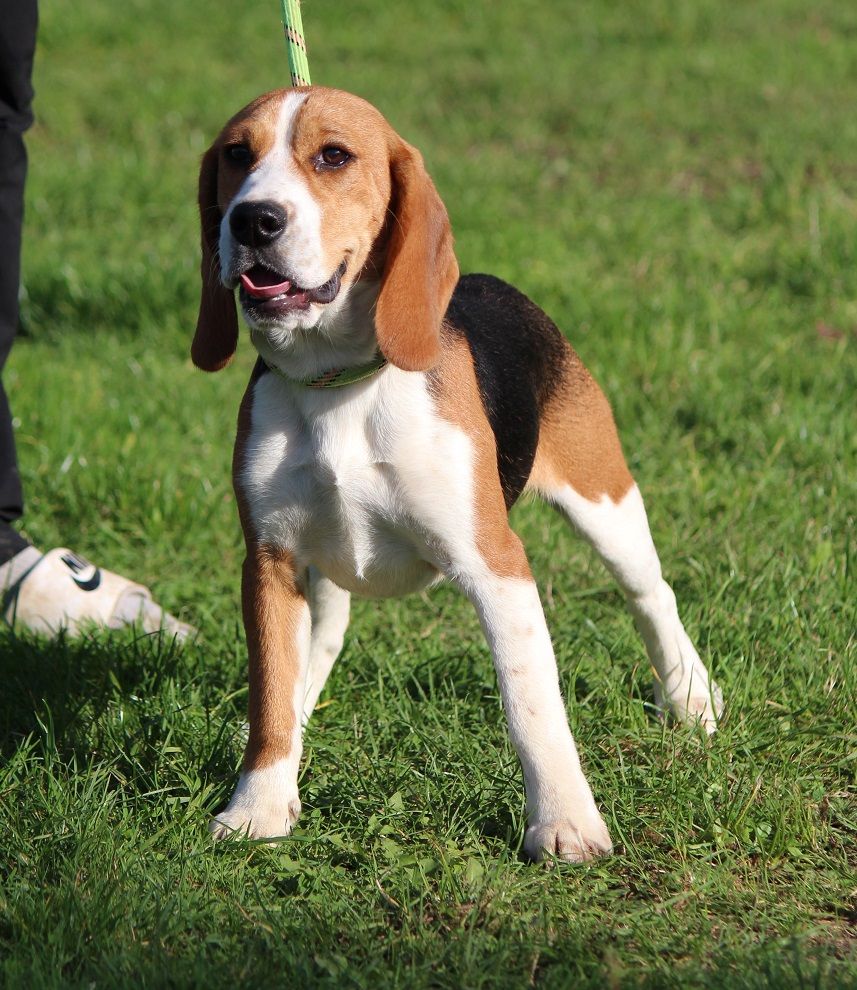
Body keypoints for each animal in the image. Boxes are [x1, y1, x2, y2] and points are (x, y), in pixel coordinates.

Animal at [194, 87, 724, 860]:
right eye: (237, 154)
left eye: (333, 156)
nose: (253, 219)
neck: (337, 383)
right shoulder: (268, 560)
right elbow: (270, 692)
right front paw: (259, 804)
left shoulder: (496, 564)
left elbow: (532, 703)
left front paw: (565, 822)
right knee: (320, 643)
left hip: (605, 501)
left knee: (651, 594)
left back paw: (689, 696)